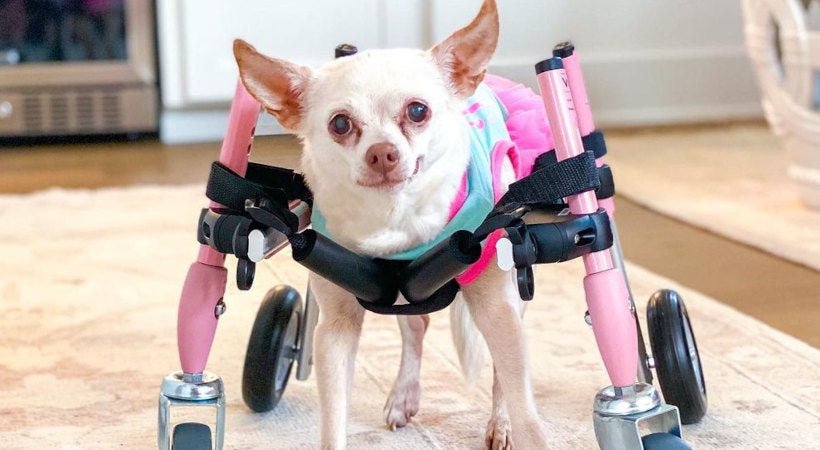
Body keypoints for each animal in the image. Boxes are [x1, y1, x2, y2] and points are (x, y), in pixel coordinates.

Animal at [234, 1, 548, 448]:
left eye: (418, 111)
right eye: (340, 124)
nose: (382, 152)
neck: (394, 217)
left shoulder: (497, 308)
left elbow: (523, 404)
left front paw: (513, 424)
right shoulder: (335, 331)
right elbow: (333, 419)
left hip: (507, 294)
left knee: (500, 365)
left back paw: (498, 421)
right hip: (403, 294)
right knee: (416, 326)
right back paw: (404, 396)